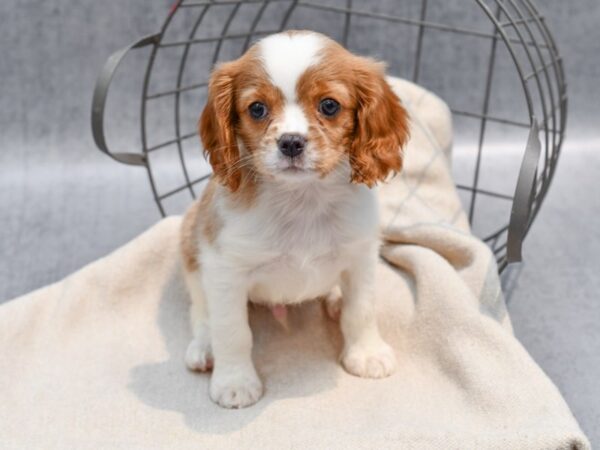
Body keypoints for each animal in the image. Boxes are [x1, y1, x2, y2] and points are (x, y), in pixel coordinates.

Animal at [179, 30, 408, 408]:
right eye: (257, 109)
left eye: (329, 105)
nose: (290, 143)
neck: (303, 200)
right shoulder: (224, 268)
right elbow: (232, 330)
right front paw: (234, 382)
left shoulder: (361, 256)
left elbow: (361, 309)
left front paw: (367, 354)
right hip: (190, 245)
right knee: (199, 308)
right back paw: (203, 346)